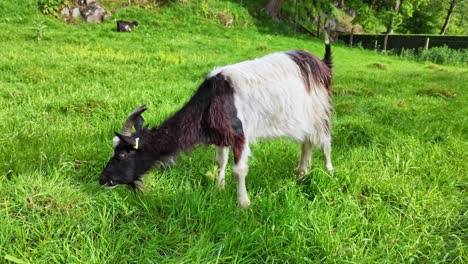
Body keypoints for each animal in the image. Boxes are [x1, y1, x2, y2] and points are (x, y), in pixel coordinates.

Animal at [99, 36, 332, 208]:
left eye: (122, 154)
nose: (102, 179)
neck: (211, 102)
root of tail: (322, 64)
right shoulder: (221, 137)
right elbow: (220, 162)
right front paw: (218, 189)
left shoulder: (239, 135)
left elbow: (239, 170)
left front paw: (244, 204)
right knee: (307, 143)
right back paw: (301, 175)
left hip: (320, 111)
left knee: (325, 140)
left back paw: (329, 171)